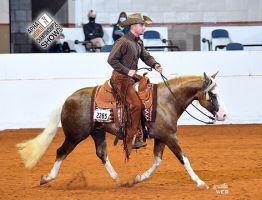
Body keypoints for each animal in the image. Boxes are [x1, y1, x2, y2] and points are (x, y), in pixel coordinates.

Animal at [16, 72, 226, 189]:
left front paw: (138, 178)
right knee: (61, 152)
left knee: (102, 154)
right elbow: (184, 159)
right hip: (75, 135)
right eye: (213, 94)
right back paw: (47, 178)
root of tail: (68, 98)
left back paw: (118, 180)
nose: (223, 115)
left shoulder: (162, 137)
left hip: (97, 133)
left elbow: (157, 161)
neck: (167, 101)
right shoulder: (170, 137)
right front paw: (200, 182)